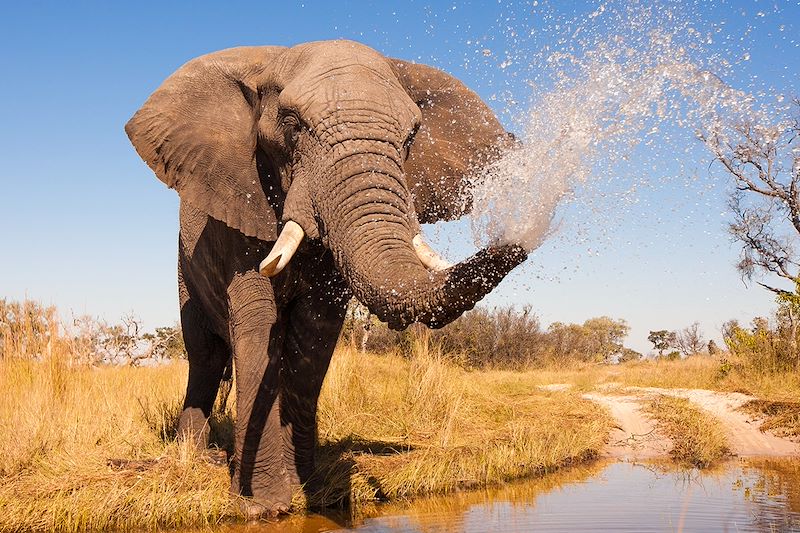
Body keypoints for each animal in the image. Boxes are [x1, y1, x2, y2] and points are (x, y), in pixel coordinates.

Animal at [123, 39, 524, 512]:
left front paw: (308, 491)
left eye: (411, 137)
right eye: (292, 125)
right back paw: (196, 455)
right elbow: (257, 322)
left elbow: (315, 331)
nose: (525, 232)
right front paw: (263, 505)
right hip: (185, 268)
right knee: (204, 353)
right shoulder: (240, 207)